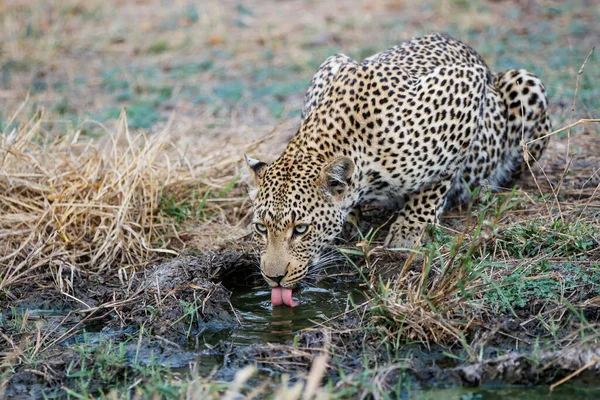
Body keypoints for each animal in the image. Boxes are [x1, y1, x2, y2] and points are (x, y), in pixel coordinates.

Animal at [241, 32, 552, 298]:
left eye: (301, 229)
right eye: (261, 228)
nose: (274, 278)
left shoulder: (464, 87)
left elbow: (438, 179)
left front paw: (409, 229)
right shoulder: (330, 64)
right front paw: (352, 221)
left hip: (527, 84)